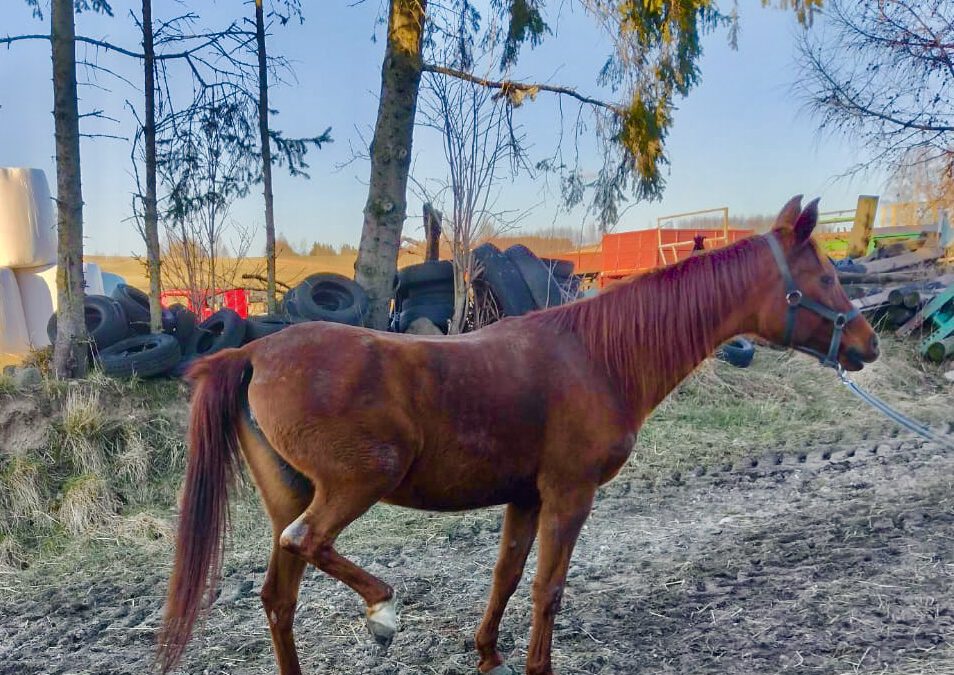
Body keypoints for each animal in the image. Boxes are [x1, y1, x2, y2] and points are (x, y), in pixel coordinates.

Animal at [158, 197, 876, 675]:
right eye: (826, 277)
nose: (866, 345)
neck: (597, 356)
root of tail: (253, 352)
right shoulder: (569, 495)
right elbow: (546, 589)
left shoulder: (525, 498)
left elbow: (505, 576)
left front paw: (487, 653)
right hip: (354, 484)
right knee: (307, 542)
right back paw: (383, 611)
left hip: (291, 494)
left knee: (279, 596)